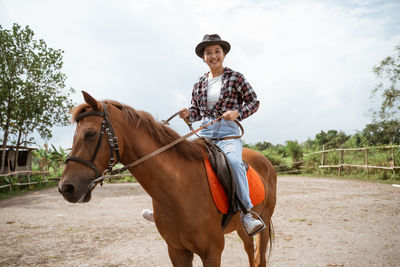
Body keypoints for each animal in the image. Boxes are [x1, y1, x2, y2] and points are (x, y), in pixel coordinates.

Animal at [59, 91, 276, 266]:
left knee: (260, 258)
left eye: (90, 133)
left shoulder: (212, 252)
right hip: (241, 228)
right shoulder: (177, 251)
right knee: (250, 252)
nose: (66, 188)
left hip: (263, 221)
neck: (181, 189)